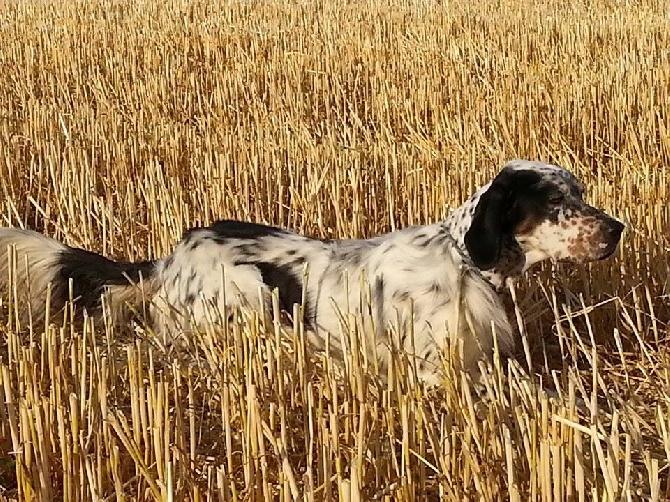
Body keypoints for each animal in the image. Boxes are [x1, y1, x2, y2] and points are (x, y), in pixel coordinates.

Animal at [0, 160, 624, 384]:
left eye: (580, 194)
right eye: (555, 202)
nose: (617, 229)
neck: (464, 261)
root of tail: (173, 254)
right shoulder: (436, 369)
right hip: (247, 293)